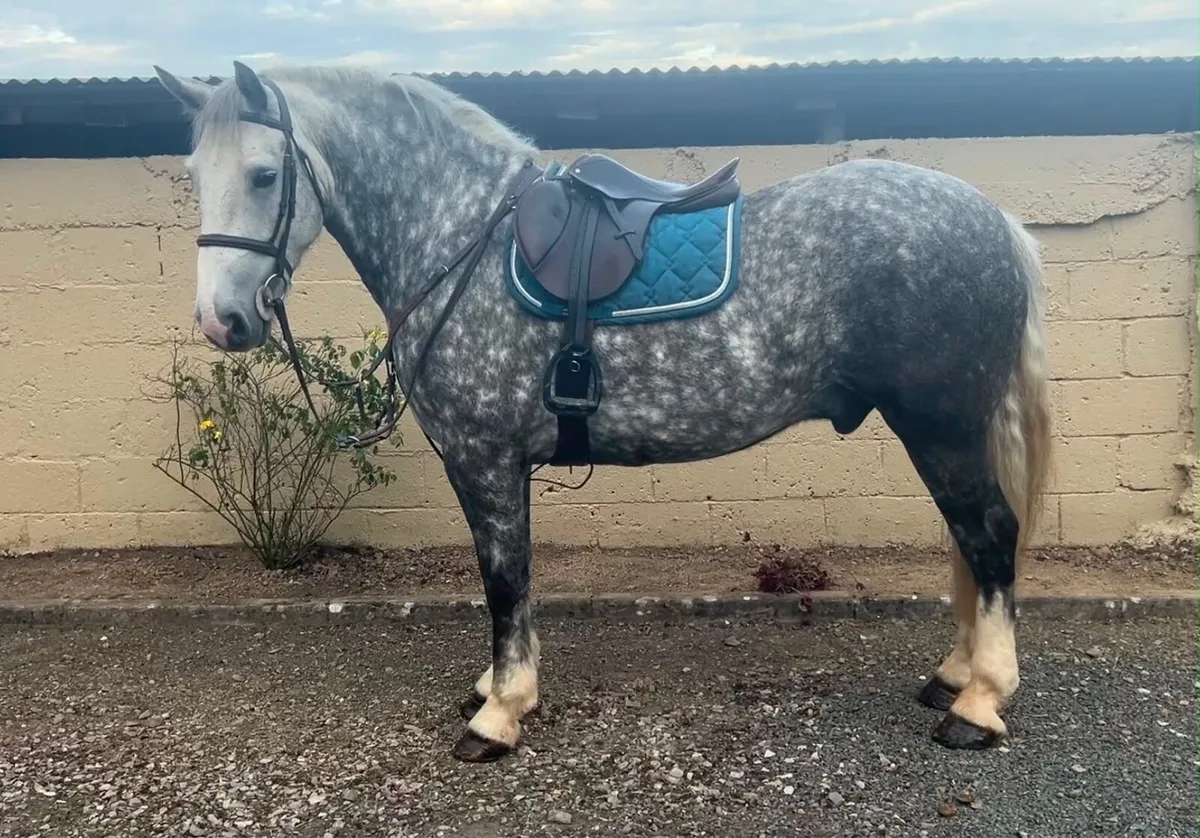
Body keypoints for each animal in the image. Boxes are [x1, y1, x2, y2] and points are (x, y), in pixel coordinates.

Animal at [152, 60, 1053, 763]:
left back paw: (979, 704)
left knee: (989, 535)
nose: (222, 321)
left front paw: (500, 713)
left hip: (940, 426)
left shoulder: (483, 458)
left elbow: (504, 580)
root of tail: (997, 221)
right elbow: (510, 582)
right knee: (971, 543)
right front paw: (498, 686)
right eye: (194, 176)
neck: (460, 237)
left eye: (264, 175)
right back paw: (953, 677)